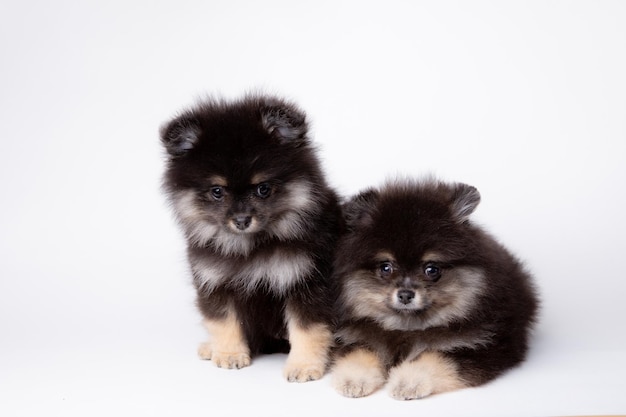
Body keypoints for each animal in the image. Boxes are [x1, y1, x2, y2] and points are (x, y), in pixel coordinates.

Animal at [158, 94, 338, 380]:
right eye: (217, 191)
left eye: (263, 189)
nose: (242, 220)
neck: (250, 246)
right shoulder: (214, 281)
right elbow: (223, 321)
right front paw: (229, 354)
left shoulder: (306, 281)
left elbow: (307, 329)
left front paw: (304, 366)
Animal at [330, 178, 540, 396]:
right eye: (386, 267)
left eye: (431, 269)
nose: (406, 294)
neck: (407, 328)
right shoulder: (355, 336)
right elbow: (359, 353)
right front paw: (353, 380)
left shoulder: (483, 346)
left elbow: (436, 359)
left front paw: (408, 382)